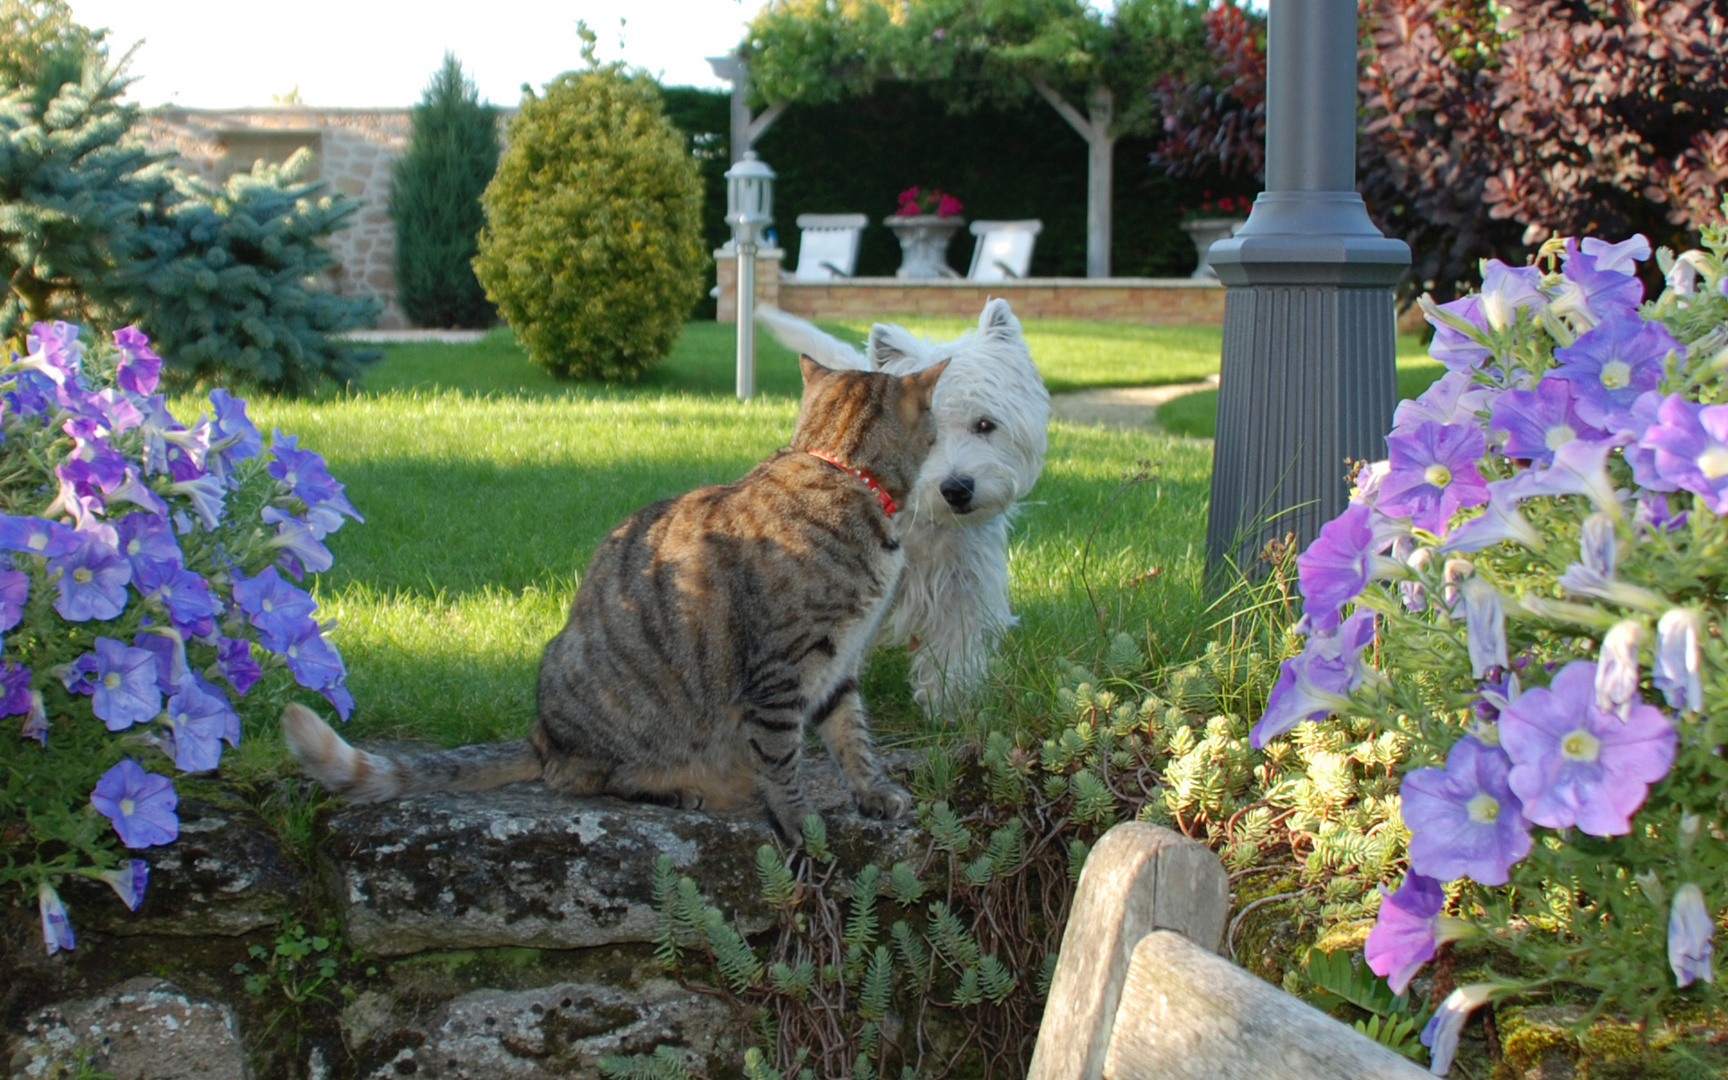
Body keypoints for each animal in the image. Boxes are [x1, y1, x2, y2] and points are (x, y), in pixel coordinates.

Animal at [279, 354, 946, 832]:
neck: (840, 469)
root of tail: (540, 732)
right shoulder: (780, 673)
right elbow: (783, 765)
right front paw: (803, 825)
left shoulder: (840, 665)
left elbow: (852, 738)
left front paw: (873, 792)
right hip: (615, 717)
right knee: (584, 778)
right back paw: (675, 790)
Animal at [760, 298, 1050, 711]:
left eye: (985, 425)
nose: (957, 488)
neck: (925, 526)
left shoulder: (964, 582)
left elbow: (956, 644)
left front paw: (947, 702)